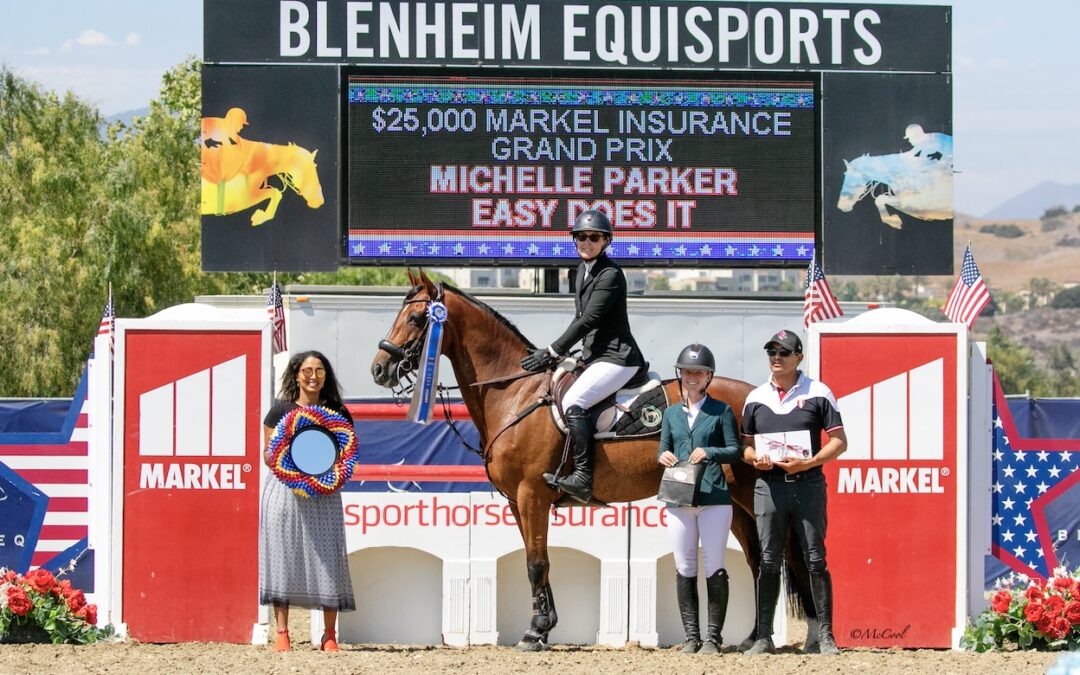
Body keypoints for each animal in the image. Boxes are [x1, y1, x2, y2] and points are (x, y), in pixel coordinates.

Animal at [367, 271, 812, 652]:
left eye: (416, 317)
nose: (379, 369)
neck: (514, 392)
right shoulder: (518, 501)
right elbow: (537, 561)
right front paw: (545, 627)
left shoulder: (531, 494)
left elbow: (536, 562)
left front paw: (535, 632)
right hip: (733, 503)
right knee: (757, 562)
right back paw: (752, 637)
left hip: (748, 496)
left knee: (776, 559)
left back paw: (786, 638)